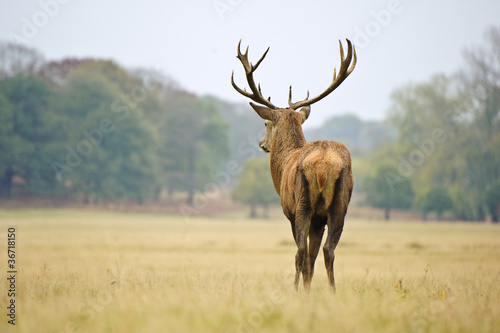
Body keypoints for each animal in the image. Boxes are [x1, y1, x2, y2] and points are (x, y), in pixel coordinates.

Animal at [232, 39, 358, 290]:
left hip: (302, 204)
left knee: (300, 252)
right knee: (328, 251)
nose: (261, 144)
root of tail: (323, 165)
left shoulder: (289, 211)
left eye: (266, 123)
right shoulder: (318, 222)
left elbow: (302, 255)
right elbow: (313, 256)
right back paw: (332, 292)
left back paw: (297, 290)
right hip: (340, 205)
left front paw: (300, 289)